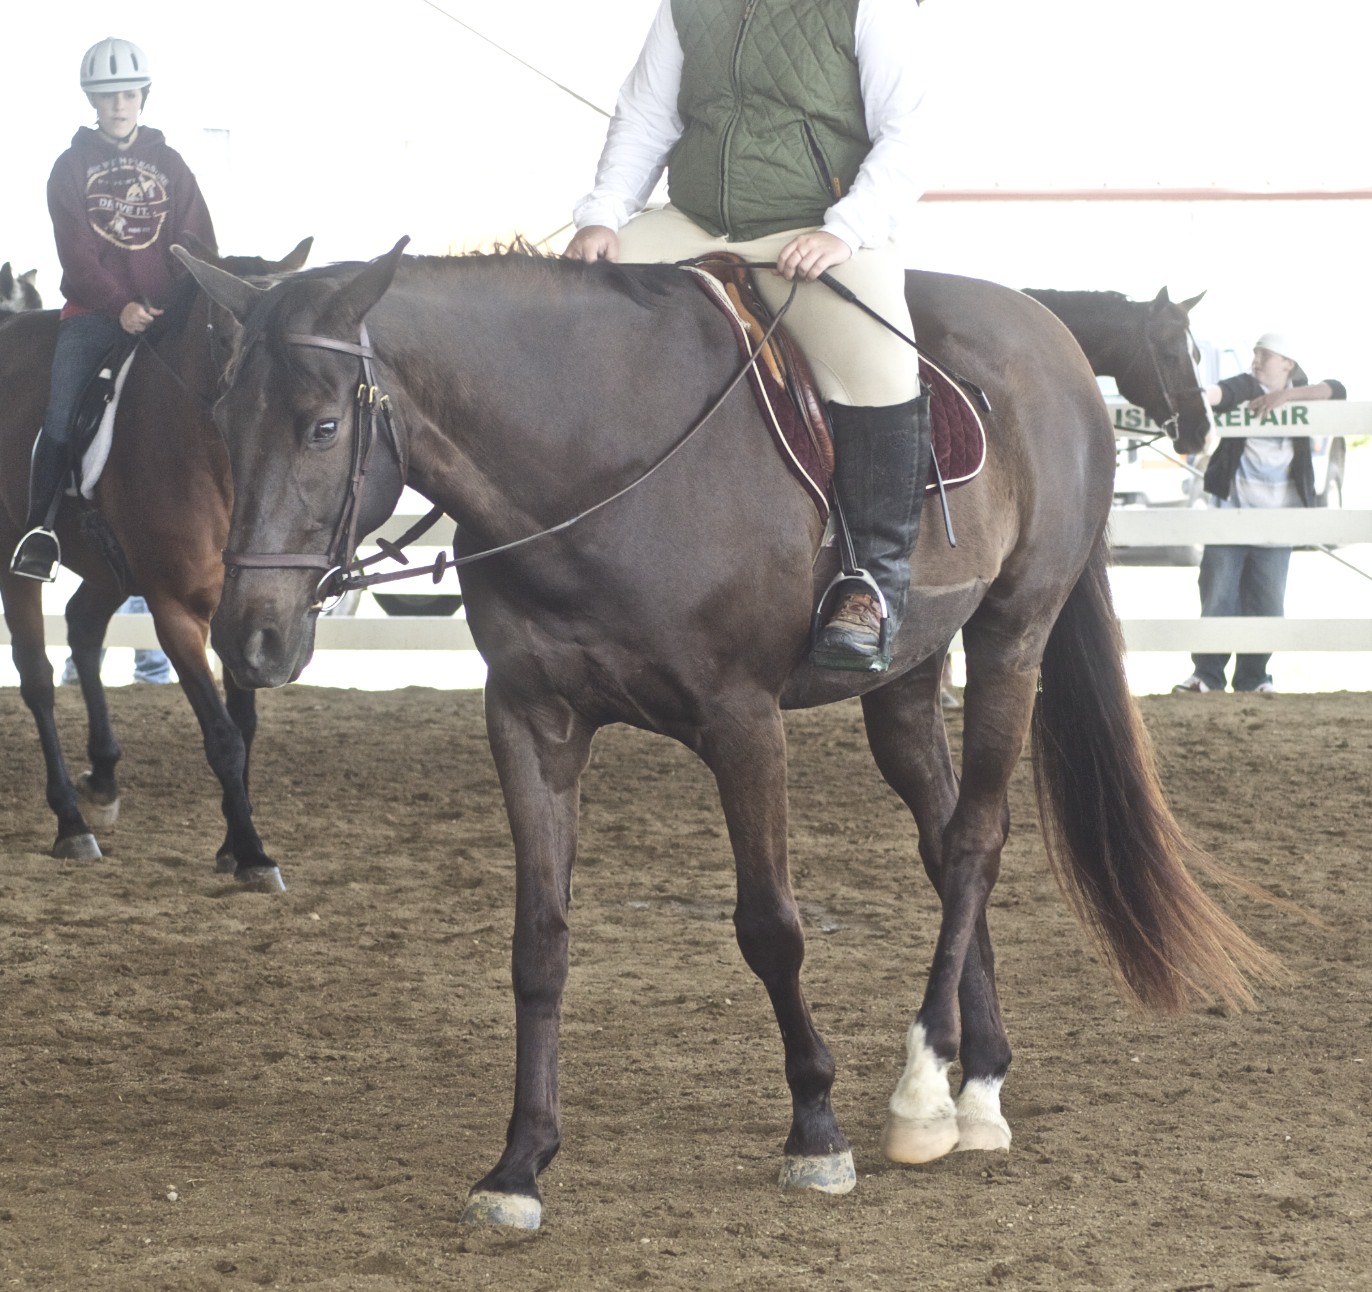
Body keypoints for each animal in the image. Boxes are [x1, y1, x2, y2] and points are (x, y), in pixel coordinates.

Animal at [0, 240, 311, 888]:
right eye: (223, 329)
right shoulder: (175, 610)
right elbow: (223, 735)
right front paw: (252, 854)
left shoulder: (242, 612)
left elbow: (244, 725)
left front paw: (232, 841)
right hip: (12, 556)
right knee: (37, 679)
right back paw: (71, 823)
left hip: (108, 568)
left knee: (82, 625)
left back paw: (103, 776)